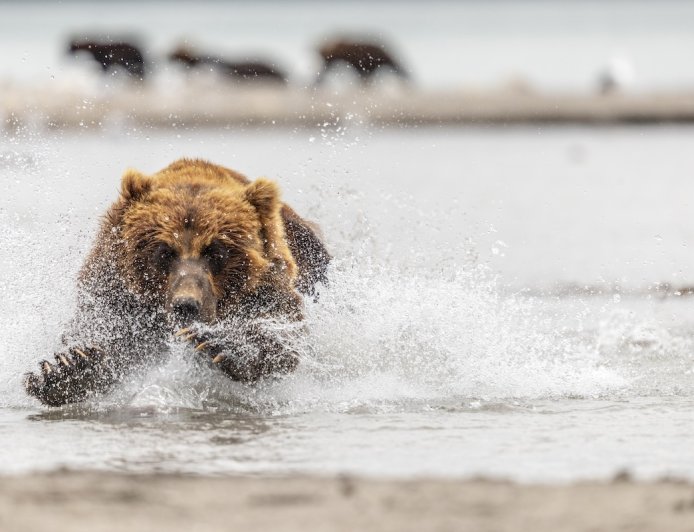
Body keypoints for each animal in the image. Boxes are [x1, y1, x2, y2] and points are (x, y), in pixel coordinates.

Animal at [24, 159, 330, 407]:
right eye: (163, 252)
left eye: (216, 251)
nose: (187, 305)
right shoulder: (113, 291)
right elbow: (100, 333)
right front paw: (66, 368)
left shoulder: (267, 287)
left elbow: (283, 336)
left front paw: (222, 344)